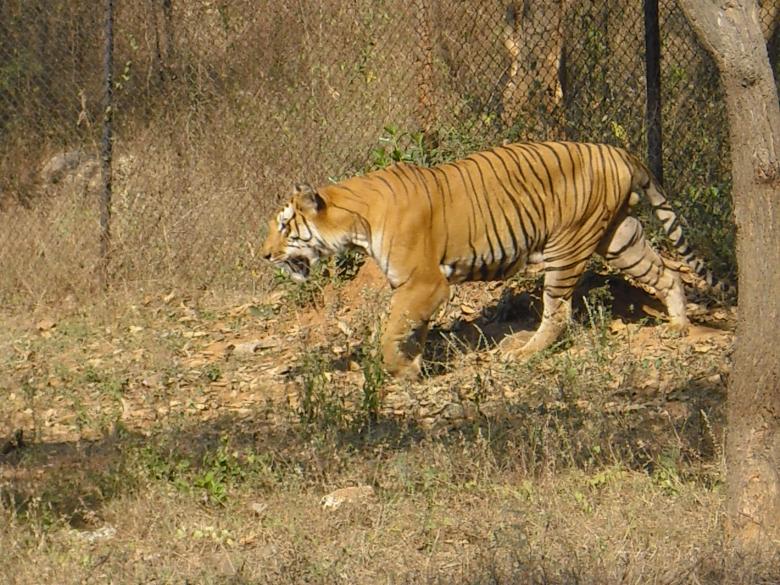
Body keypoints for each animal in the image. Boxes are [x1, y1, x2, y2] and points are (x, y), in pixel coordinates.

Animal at [261, 140, 723, 379]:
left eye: (284, 226)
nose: (265, 255)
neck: (356, 221)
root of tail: (615, 149)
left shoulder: (426, 282)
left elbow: (393, 327)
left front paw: (395, 369)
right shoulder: (415, 288)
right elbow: (411, 328)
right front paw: (413, 364)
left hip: (567, 247)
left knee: (559, 313)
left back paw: (524, 352)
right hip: (620, 238)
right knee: (667, 274)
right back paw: (679, 325)